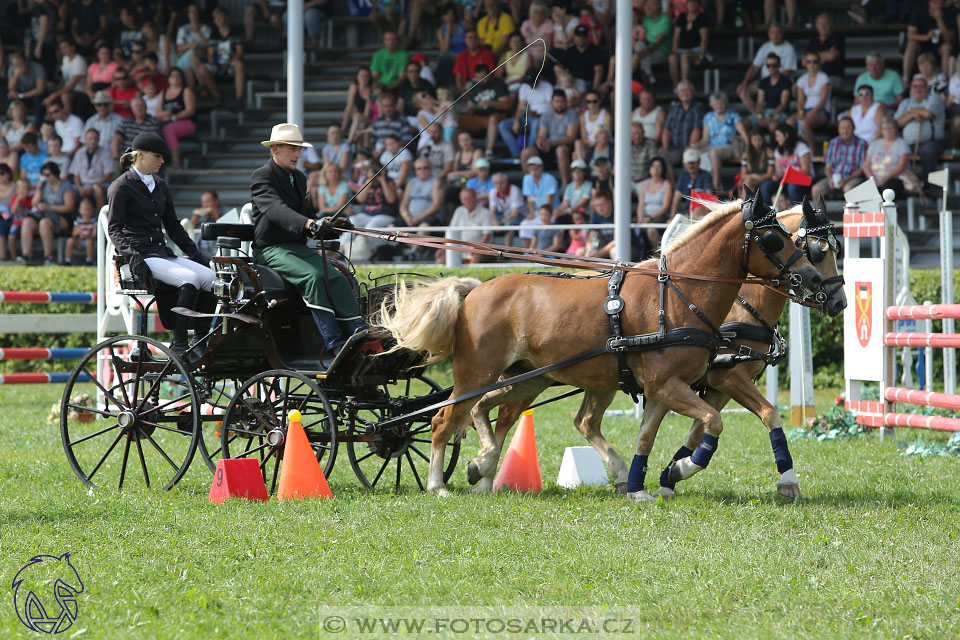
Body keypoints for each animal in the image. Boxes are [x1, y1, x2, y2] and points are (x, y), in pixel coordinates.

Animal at [380, 188, 824, 498]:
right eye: (774, 239)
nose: (817, 281)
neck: (677, 296)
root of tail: (475, 289)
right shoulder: (674, 384)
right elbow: (713, 422)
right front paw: (679, 471)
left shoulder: (665, 387)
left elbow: (649, 435)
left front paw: (645, 485)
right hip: (476, 374)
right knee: (444, 420)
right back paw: (439, 484)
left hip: (533, 377)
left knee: (503, 415)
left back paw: (484, 471)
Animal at [652, 196, 848, 500]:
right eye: (819, 250)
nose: (840, 301)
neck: (742, 307)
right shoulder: (728, 376)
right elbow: (769, 413)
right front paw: (788, 479)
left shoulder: (718, 386)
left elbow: (699, 429)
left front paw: (673, 473)